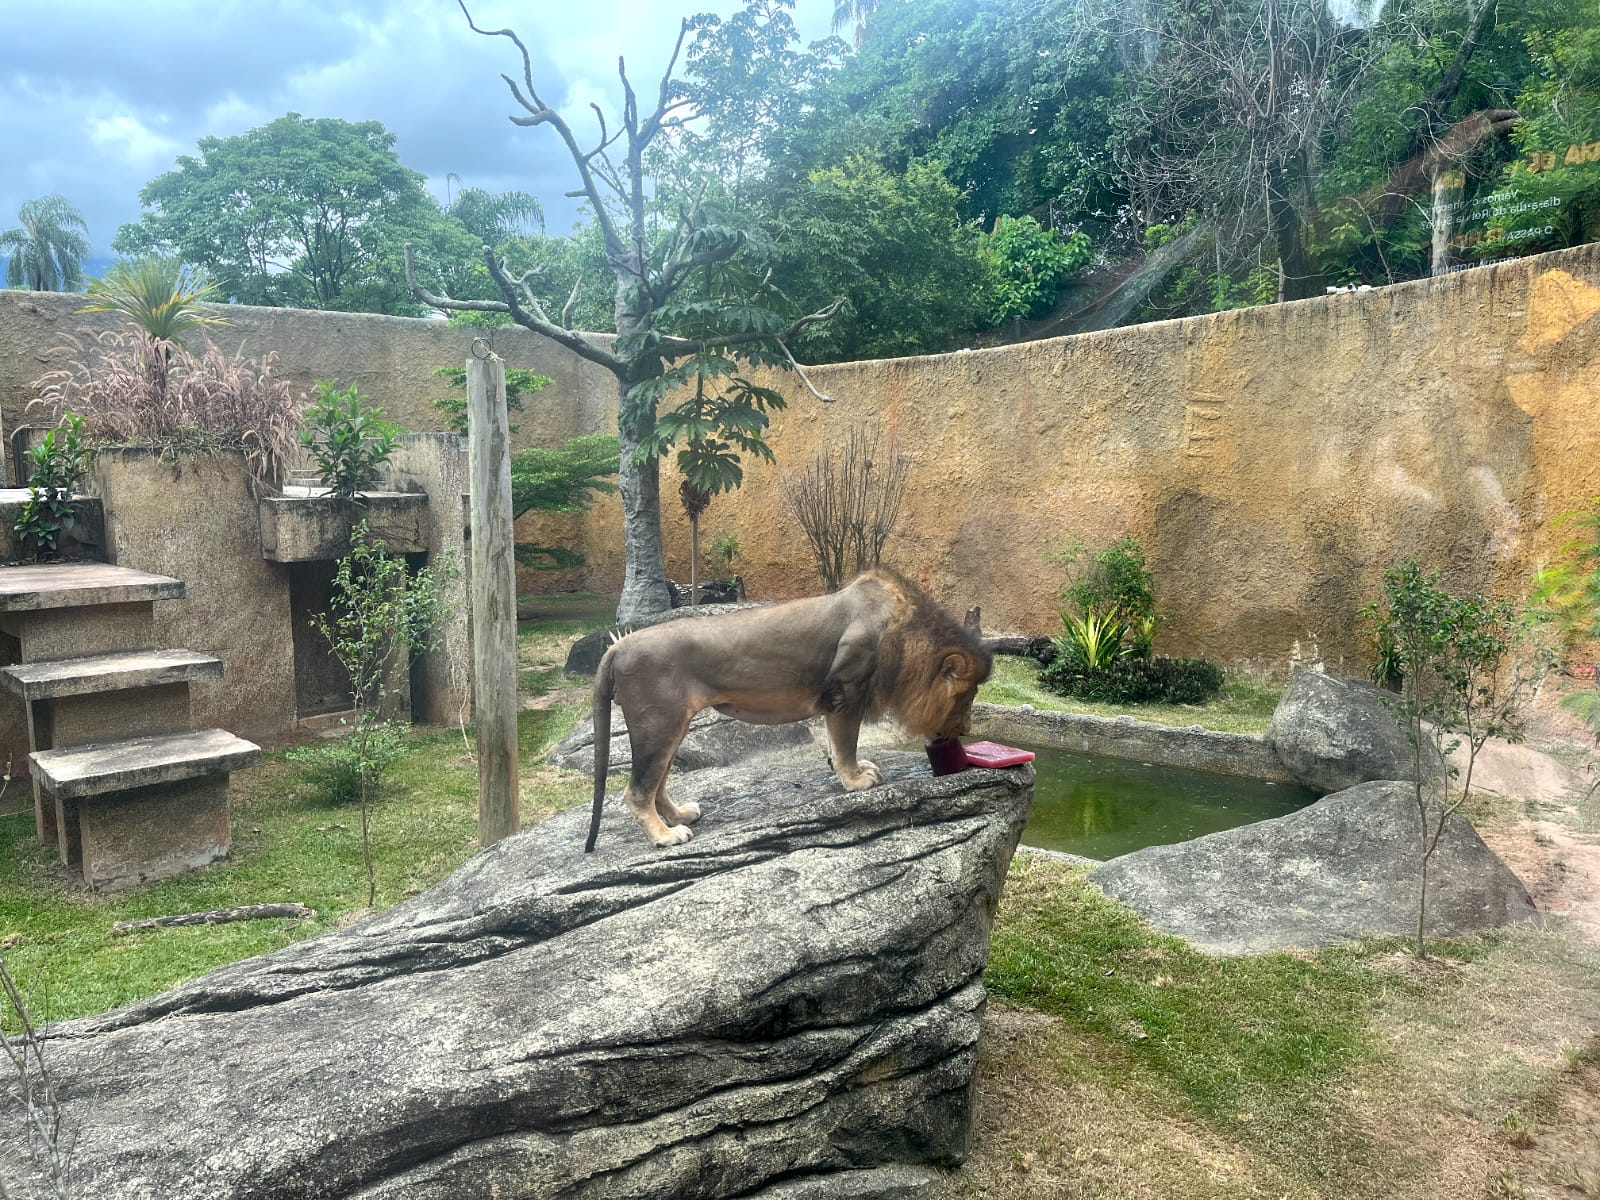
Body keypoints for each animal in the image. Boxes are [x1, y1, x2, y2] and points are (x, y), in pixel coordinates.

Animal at [585, 569, 992, 852]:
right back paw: (665, 836)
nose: (965, 730)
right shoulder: (847, 692)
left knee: (657, 784)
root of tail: (616, 647)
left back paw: (679, 816)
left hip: (672, 727)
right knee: (637, 791)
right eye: (967, 697)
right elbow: (846, 742)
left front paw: (852, 770)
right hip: (658, 724)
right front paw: (855, 781)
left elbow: (839, 745)